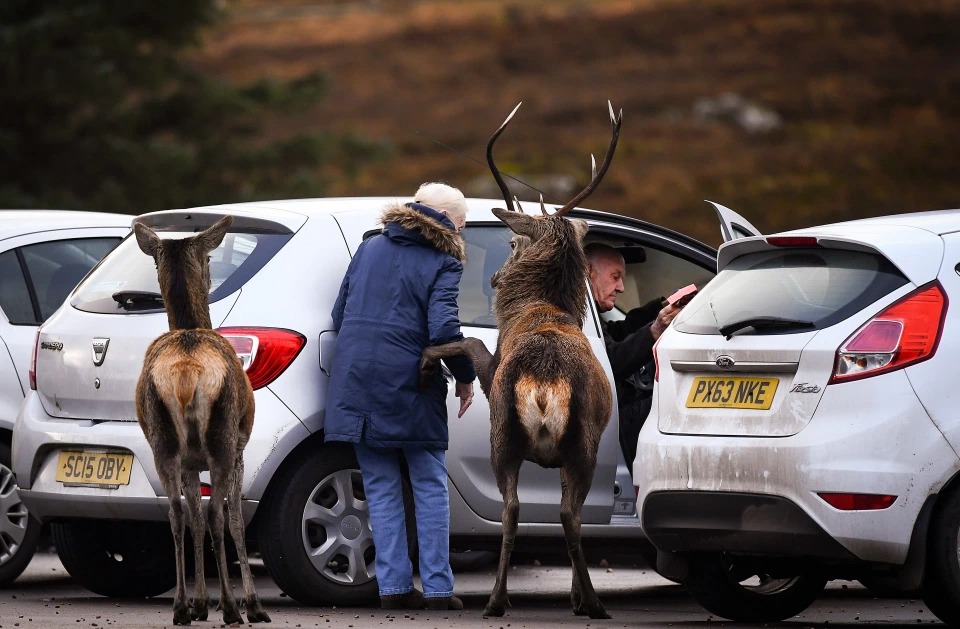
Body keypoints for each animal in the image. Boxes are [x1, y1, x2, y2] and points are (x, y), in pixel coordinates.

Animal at [132, 215, 270, 624]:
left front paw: (198, 602)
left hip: (162, 442)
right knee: (217, 516)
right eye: (210, 259)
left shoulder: (190, 463)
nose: (213, 276)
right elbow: (235, 520)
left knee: (177, 514)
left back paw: (180, 606)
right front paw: (250, 603)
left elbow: (192, 518)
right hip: (223, 438)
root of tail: (186, 373)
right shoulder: (241, 449)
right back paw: (233, 608)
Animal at [420, 103, 624, 620]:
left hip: (516, 435)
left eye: (512, 244)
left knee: (525, 510)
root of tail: (544, 382)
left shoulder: (494, 371)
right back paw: (576, 600)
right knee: (560, 513)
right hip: (570, 441)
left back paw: (517, 599)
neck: (538, 307)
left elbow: (473, 343)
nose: (494, 277)